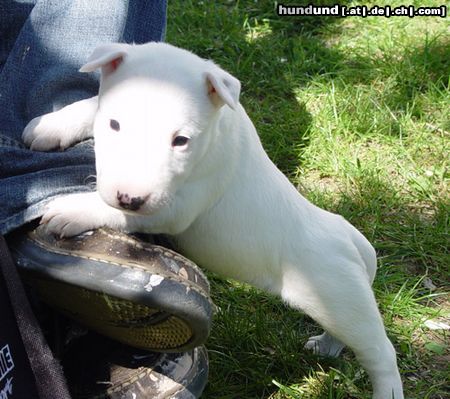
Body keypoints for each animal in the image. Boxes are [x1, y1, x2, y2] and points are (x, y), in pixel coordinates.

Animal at [22, 42, 404, 398]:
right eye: (115, 124)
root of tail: (351, 238)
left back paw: (385, 388)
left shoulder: (179, 206)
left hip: (339, 298)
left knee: (379, 351)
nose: (130, 197)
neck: (219, 129)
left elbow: (121, 212)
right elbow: (91, 105)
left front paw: (73, 210)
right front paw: (49, 126)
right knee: (347, 339)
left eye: (181, 140)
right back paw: (325, 346)